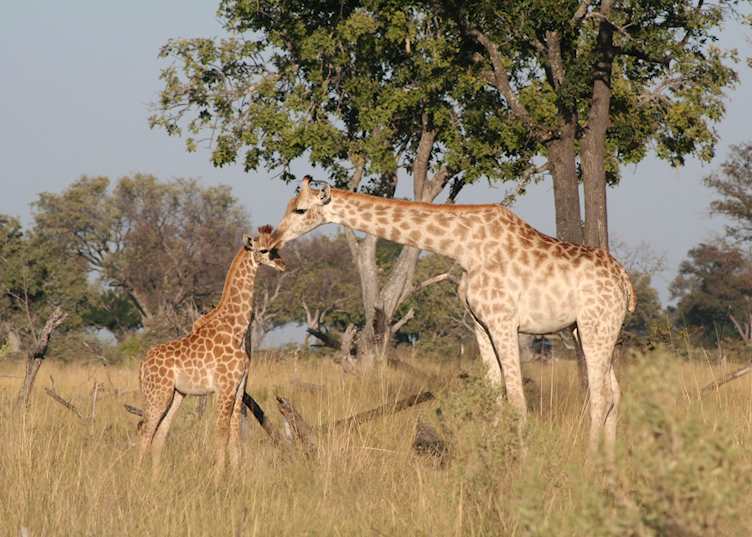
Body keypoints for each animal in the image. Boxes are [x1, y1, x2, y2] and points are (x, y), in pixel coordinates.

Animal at [137, 226, 285, 472]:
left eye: (276, 248)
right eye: (264, 250)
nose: (283, 264)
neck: (236, 329)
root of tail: (141, 365)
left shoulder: (239, 387)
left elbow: (235, 434)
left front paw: (235, 474)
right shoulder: (224, 387)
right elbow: (222, 433)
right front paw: (218, 476)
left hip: (177, 394)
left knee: (159, 434)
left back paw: (155, 477)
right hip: (157, 394)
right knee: (145, 432)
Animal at [271, 177, 636, 457]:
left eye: (300, 209)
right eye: (287, 205)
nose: (271, 242)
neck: (464, 247)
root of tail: (624, 281)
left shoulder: (504, 321)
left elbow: (516, 397)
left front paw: (521, 463)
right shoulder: (480, 323)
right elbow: (494, 393)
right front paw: (490, 456)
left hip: (595, 324)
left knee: (601, 395)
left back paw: (589, 462)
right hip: (589, 329)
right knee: (615, 393)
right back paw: (609, 463)